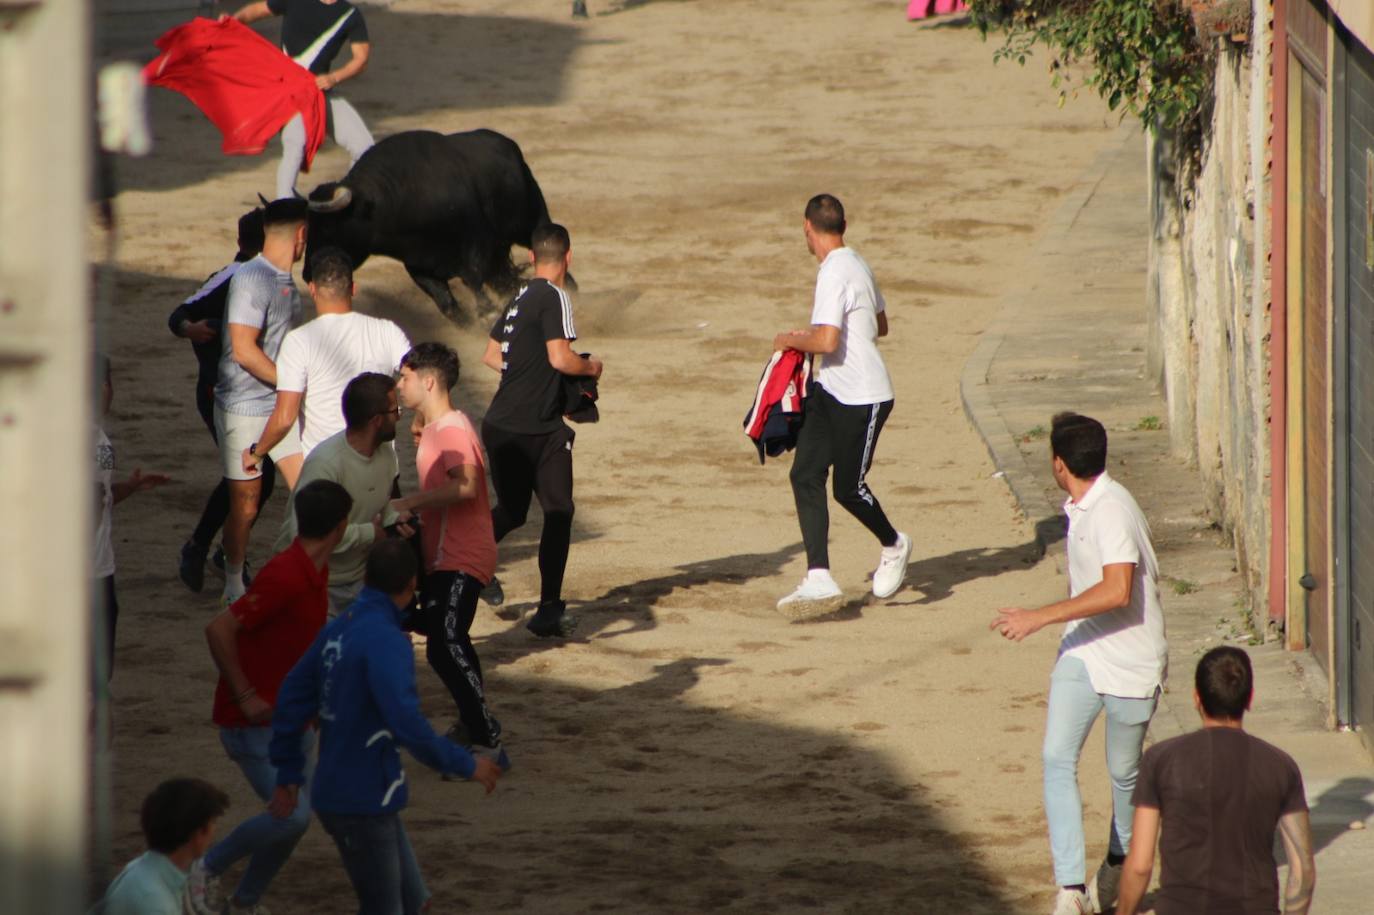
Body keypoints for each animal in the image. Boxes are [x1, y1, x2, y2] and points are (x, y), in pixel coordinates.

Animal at [303, 127, 571, 320]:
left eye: (327, 227)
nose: (306, 274)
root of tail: (510, 146)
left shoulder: (475, 242)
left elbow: (473, 278)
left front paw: (488, 312)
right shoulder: (419, 266)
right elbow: (448, 304)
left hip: (530, 223)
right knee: (503, 278)